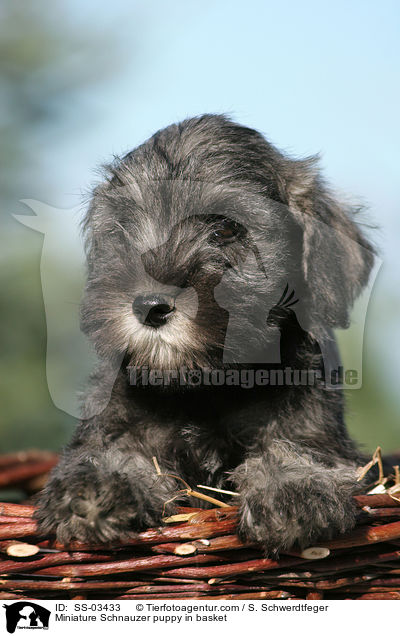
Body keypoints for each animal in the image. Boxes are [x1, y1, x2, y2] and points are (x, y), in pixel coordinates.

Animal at [34, 117, 376, 556]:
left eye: (226, 228)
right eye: (122, 228)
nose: (150, 305)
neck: (204, 385)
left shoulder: (316, 428)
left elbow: (296, 447)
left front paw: (294, 488)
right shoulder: (118, 422)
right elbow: (118, 452)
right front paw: (96, 486)